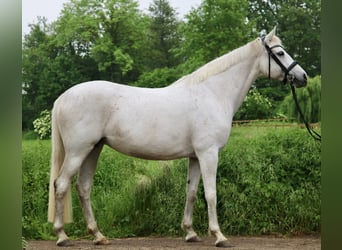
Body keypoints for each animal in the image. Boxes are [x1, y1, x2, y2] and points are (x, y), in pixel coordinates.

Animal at [47, 26, 308, 246]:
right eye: (280, 52)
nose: (303, 77)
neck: (213, 93)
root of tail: (63, 98)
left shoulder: (195, 156)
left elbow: (191, 192)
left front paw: (190, 232)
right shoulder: (208, 154)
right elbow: (210, 194)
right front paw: (219, 235)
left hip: (94, 149)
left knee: (83, 187)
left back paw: (98, 235)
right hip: (78, 151)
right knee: (61, 184)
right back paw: (62, 236)